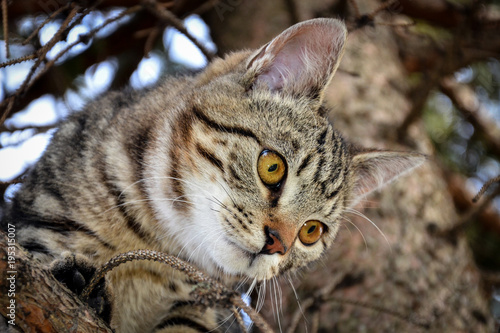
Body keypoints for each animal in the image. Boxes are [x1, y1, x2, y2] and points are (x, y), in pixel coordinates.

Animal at [1, 18, 426, 332]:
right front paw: (75, 280)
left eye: (311, 231)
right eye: (272, 166)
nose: (277, 244)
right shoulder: (39, 221)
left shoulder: (206, 309)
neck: (157, 245)